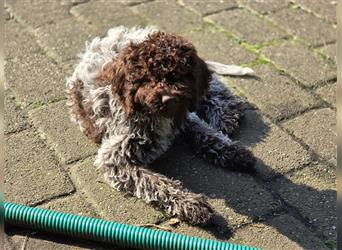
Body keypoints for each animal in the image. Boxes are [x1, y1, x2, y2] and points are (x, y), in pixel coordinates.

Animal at [66, 25, 254, 225]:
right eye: (147, 77)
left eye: (181, 74)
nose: (168, 99)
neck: (155, 116)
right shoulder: (116, 159)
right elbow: (154, 182)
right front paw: (190, 204)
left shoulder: (184, 115)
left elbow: (205, 132)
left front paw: (233, 151)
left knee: (215, 89)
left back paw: (225, 113)